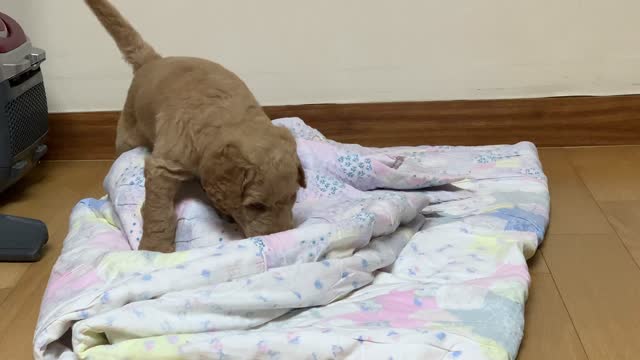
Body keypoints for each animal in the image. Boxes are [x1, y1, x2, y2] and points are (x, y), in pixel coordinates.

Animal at [85, 0, 308, 253]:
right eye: (257, 206)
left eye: (293, 197)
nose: (282, 235)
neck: (228, 116)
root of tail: (154, 60)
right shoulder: (164, 164)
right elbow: (158, 210)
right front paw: (155, 248)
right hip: (128, 133)